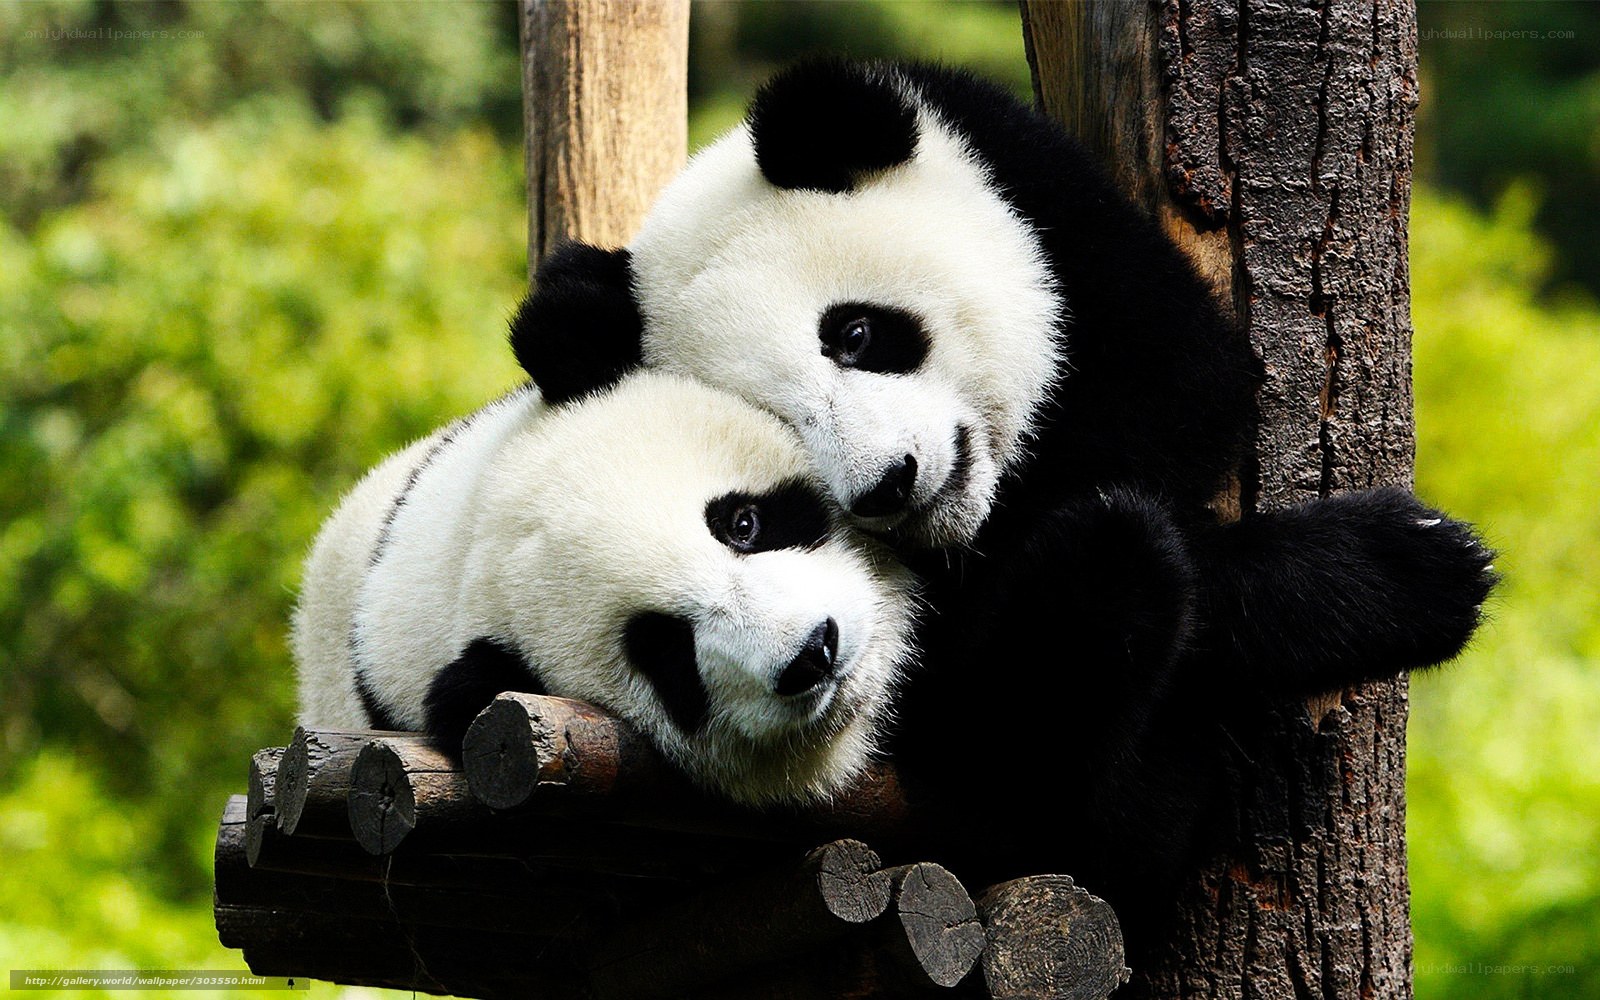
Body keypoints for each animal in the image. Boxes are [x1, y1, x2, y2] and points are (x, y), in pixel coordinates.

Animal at [505, 60, 1496, 924]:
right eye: (779, 423)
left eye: (856, 333)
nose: (889, 484)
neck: (979, 516)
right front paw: (1407, 570)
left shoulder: (1053, 213)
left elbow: (1184, 393)